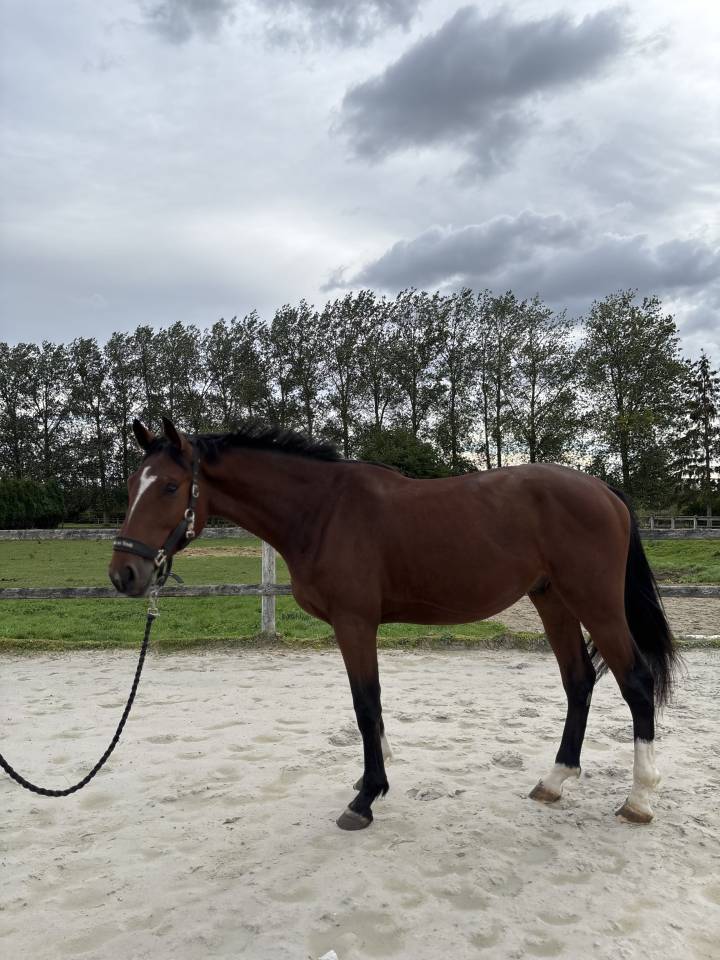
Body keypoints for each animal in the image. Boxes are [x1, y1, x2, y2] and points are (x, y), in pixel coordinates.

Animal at [109, 417, 677, 831]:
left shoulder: (354, 623)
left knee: (635, 683)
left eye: (170, 487)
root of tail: (605, 491)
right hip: (552, 600)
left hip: (596, 603)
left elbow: (365, 704)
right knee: (578, 681)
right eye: (133, 484)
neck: (323, 512)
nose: (123, 574)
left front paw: (365, 796)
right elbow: (371, 706)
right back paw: (554, 781)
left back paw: (639, 800)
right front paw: (376, 776)